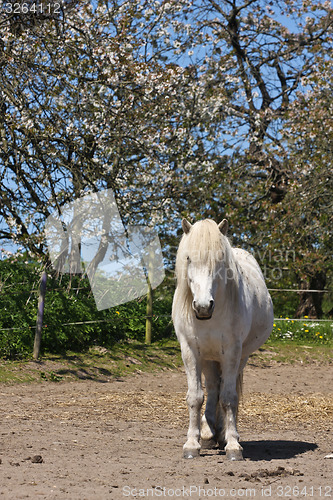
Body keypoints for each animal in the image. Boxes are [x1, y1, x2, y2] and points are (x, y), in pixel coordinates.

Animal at [171, 219, 272, 460]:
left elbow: (228, 397)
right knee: (213, 387)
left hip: (240, 357)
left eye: (219, 260)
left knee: (224, 389)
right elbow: (196, 397)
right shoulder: (190, 352)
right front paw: (192, 444)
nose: (202, 307)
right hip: (208, 357)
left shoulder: (232, 353)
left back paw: (222, 434)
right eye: (188, 258)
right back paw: (209, 434)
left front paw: (233, 445)